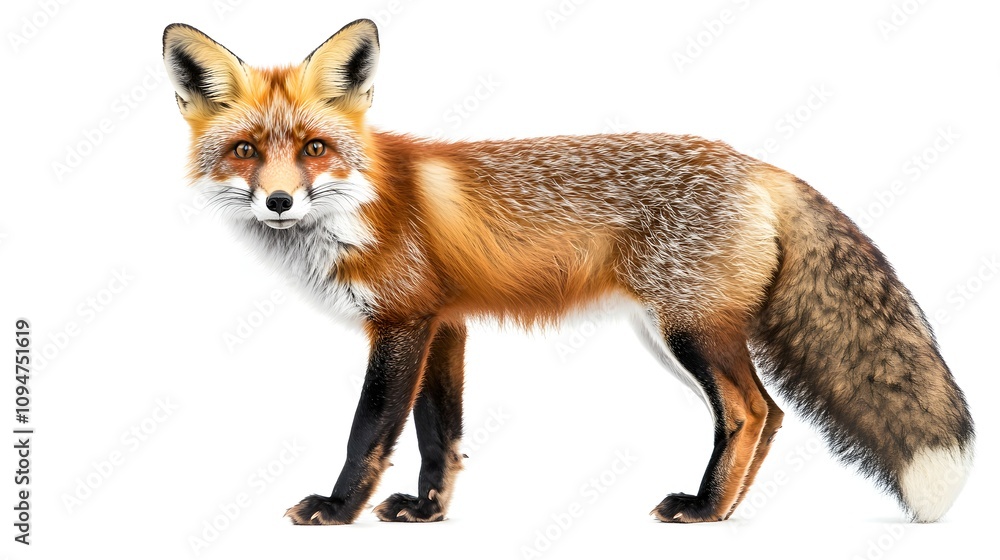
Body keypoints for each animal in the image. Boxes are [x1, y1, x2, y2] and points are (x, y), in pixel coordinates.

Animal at [162, 19, 974, 525]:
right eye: (244, 151)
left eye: (313, 148)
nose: (277, 200)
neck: (362, 204)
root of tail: (756, 165)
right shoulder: (445, 323)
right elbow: (438, 436)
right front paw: (426, 513)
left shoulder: (401, 321)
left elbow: (370, 431)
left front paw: (336, 512)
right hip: (672, 331)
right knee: (770, 415)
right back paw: (728, 509)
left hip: (687, 328)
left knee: (750, 411)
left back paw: (706, 510)